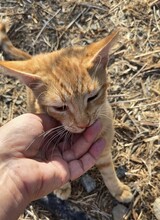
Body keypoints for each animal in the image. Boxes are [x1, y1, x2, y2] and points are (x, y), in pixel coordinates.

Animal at [0, 21, 132, 203]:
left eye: (93, 97)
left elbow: (108, 170)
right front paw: (62, 186)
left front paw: (118, 190)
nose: (84, 124)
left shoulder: (104, 143)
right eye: (60, 108)